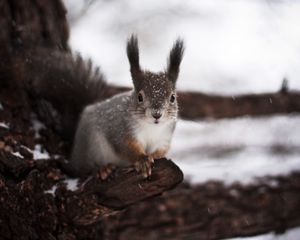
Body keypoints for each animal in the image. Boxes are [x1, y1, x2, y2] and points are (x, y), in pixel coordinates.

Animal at [8, 34, 183, 179]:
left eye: (173, 97)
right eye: (140, 97)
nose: (157, 114)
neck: (151, 128)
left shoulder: (164, 138)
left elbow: (161, 151)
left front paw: (154, 156)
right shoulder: (121, 130)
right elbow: (126, 148)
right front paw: (142, 160)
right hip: (93, 146)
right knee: (82, 170)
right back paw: (102, 169)